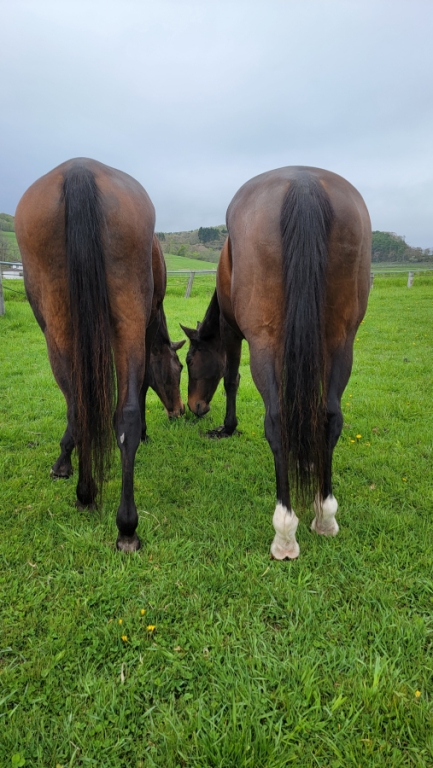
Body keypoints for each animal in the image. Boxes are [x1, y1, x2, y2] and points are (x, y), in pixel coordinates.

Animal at [15, 158, 183, 552]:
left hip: (63, 326)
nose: (180, 411)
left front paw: (63, 462)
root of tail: (80, 171)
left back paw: (95, 500)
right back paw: (120, 521)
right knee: (107, 412)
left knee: (85, 407)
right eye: (179, 369)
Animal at [181, 166, 370, 560]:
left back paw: (285, 531)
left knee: (277, 420)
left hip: (264, 342)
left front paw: (227, 427)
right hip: (341, 340)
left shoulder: (232, 331)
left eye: (190, 359)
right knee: (331, 416)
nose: (195, 407)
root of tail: (304, 182)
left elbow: (231, 378)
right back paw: (324, 513)